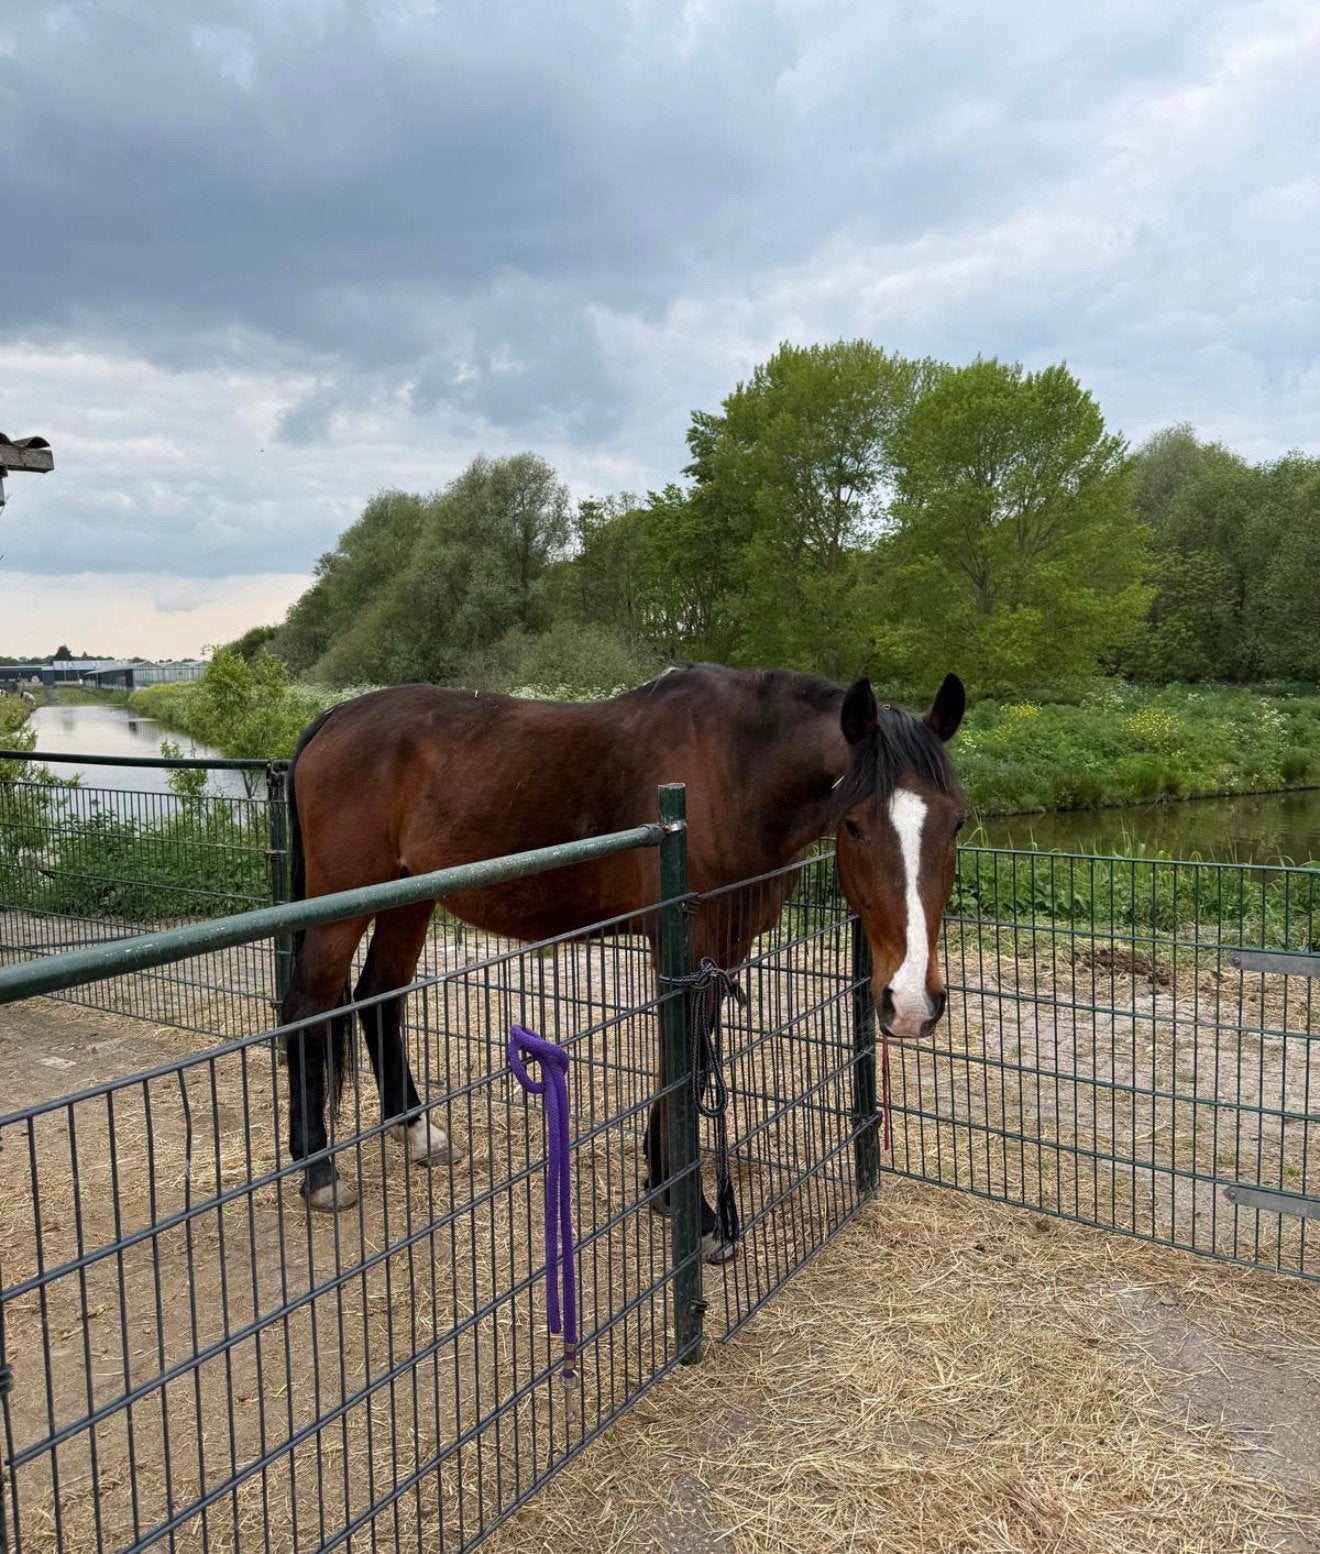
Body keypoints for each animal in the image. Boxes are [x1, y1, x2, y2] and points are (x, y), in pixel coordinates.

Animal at [279, 663, 966, 1258]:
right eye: (852, 824)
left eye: (958, 823)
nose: (911, 1004)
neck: (734, 768)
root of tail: (334, 717)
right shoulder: (683, 943)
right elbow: (680, 1060)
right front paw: (693, 1209)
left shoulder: (725, 950)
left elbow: (695, 1061)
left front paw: (666, 1185)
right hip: (344, 903)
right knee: (310, 1005)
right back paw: (319, 1173)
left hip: (408, 897)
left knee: (380, 996)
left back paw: (418, 1134)